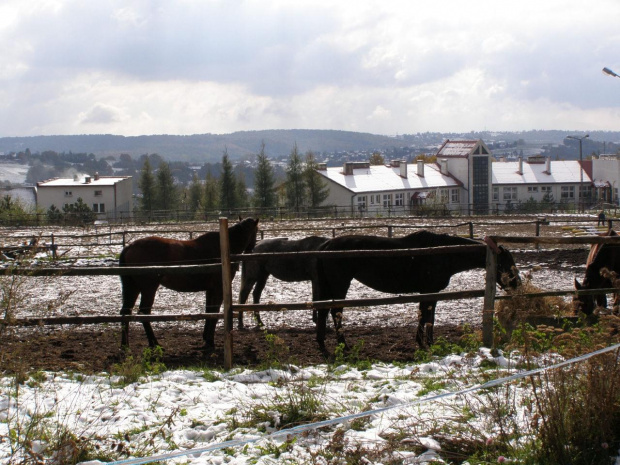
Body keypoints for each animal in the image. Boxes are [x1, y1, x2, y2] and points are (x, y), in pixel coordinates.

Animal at [120, 218, 258, 352]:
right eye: (256, 231)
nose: (251, 250)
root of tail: (130, 246)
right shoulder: (218, 289)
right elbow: (215, 312)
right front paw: (210, 341)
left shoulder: (210, 290)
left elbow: (209, 311)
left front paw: (206, 338)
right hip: (149, 289)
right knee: (144, 313)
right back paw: (154, 343)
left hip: (133, 288)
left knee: (125, 312)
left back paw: (125, 345)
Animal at [312, 230, 520, 354]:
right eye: (506, 262)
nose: (517, 283)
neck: (442, 253)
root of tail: (326, 246)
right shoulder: (429, 291)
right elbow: (426, 317)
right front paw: (425, 343)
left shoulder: (430, 292)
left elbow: (428, 317)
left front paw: (426, 342)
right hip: (340, 285)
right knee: (335, 312)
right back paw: (343, 345)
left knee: (323, 311)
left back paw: (322, 344)